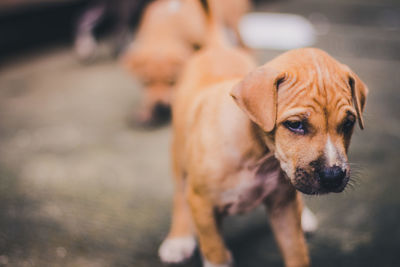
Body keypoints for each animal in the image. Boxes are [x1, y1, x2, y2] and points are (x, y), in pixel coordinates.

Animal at [122, 0, 250, 126]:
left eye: (172, 82)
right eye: (146, 83)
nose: (160, 107)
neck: (163, 28)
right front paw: (146, 111)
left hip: (233, 19)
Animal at [157, 1, 368, 266]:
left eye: (348, 123)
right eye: (295, 124)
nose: (333, 176)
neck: (259, 156)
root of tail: (217, 47)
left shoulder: (283, 208)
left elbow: (296, 251)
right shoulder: (202, 203)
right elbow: (215, 250)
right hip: (178, 154)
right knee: (179, 196)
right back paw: (179, 239)